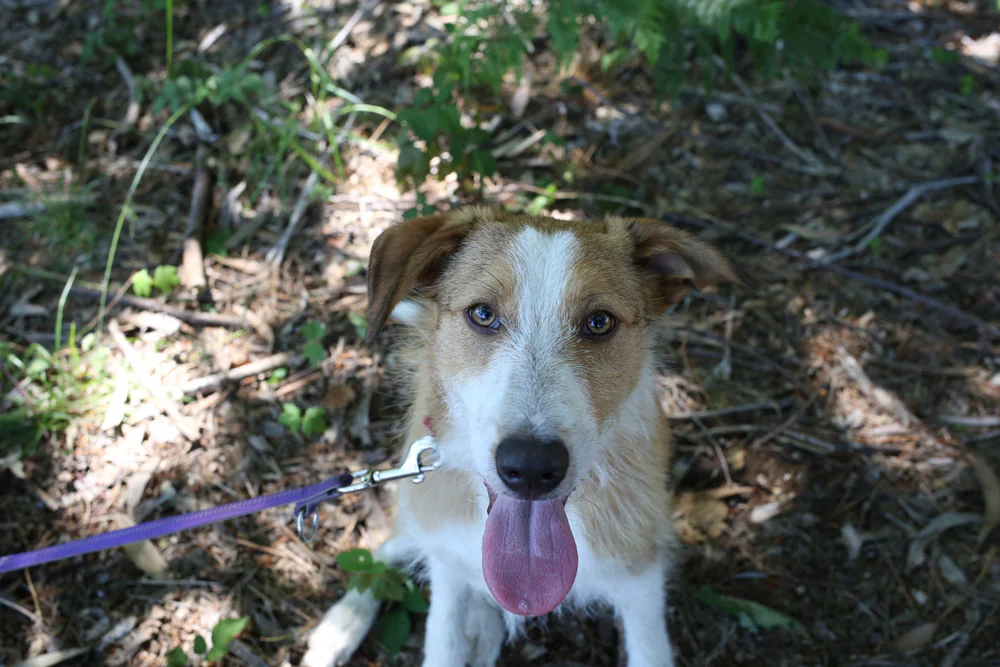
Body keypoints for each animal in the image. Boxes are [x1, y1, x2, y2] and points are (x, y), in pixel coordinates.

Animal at [300, 206, 740, 664]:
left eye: (600, 322)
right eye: (482, 314)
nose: (531, 467)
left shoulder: (641, 579)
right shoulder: (447, 570)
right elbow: (443, 639)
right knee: (390, 546)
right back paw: (342, 625)